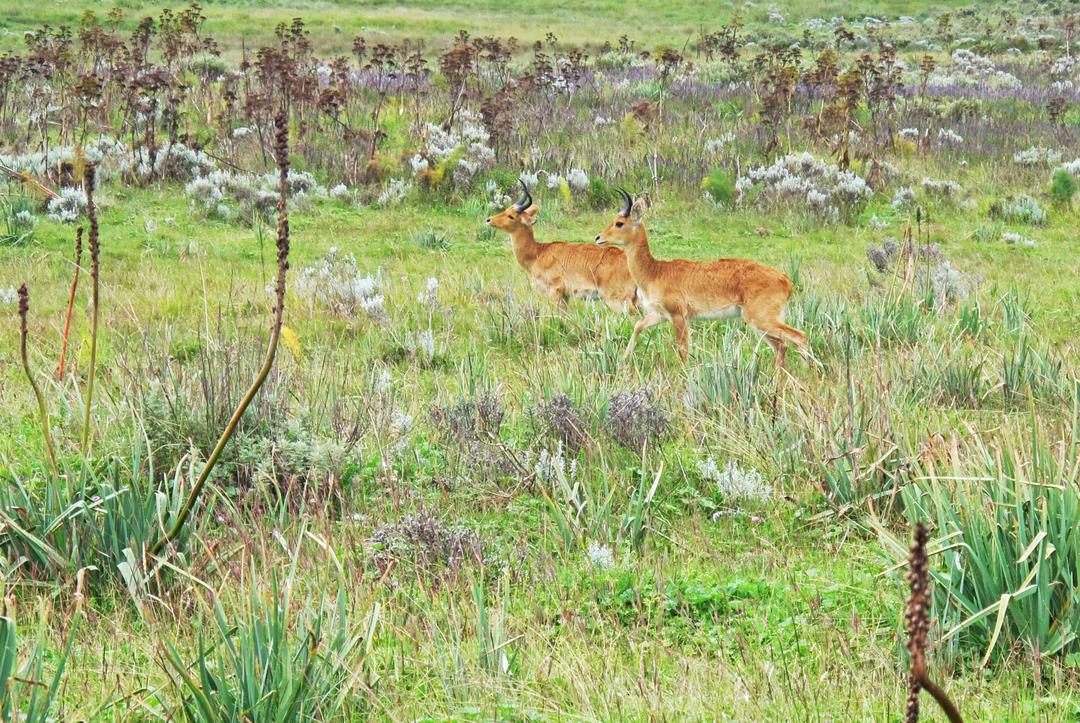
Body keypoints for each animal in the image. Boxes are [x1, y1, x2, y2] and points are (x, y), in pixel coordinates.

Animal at [486, 180, 635, 311]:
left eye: (511, 216)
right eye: (506, 210)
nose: (489, 220)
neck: (538, 253)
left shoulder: (555, 292)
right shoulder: (565, 296)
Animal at [591, 189, 812, 369]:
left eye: (619, 223)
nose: (598, 237)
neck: (655, 271)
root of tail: (786, 280)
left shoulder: (679, 316)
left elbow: (683, 350)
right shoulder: (659, 314)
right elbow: (637, 326)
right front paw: (623, 360)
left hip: (762, 319)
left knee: (799, 336)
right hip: (761, 323)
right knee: (782, 346)